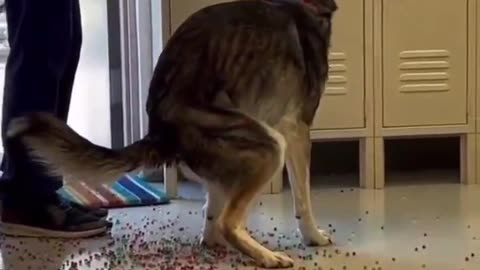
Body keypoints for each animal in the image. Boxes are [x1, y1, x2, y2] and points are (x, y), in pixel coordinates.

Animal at [7, 0, 338, 268]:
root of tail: (159, 129)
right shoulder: (297, 131)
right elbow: (303, 197)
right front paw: (313, 236)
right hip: (269, 145)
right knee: (229, 221)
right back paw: (266, 256)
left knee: (218, 218)